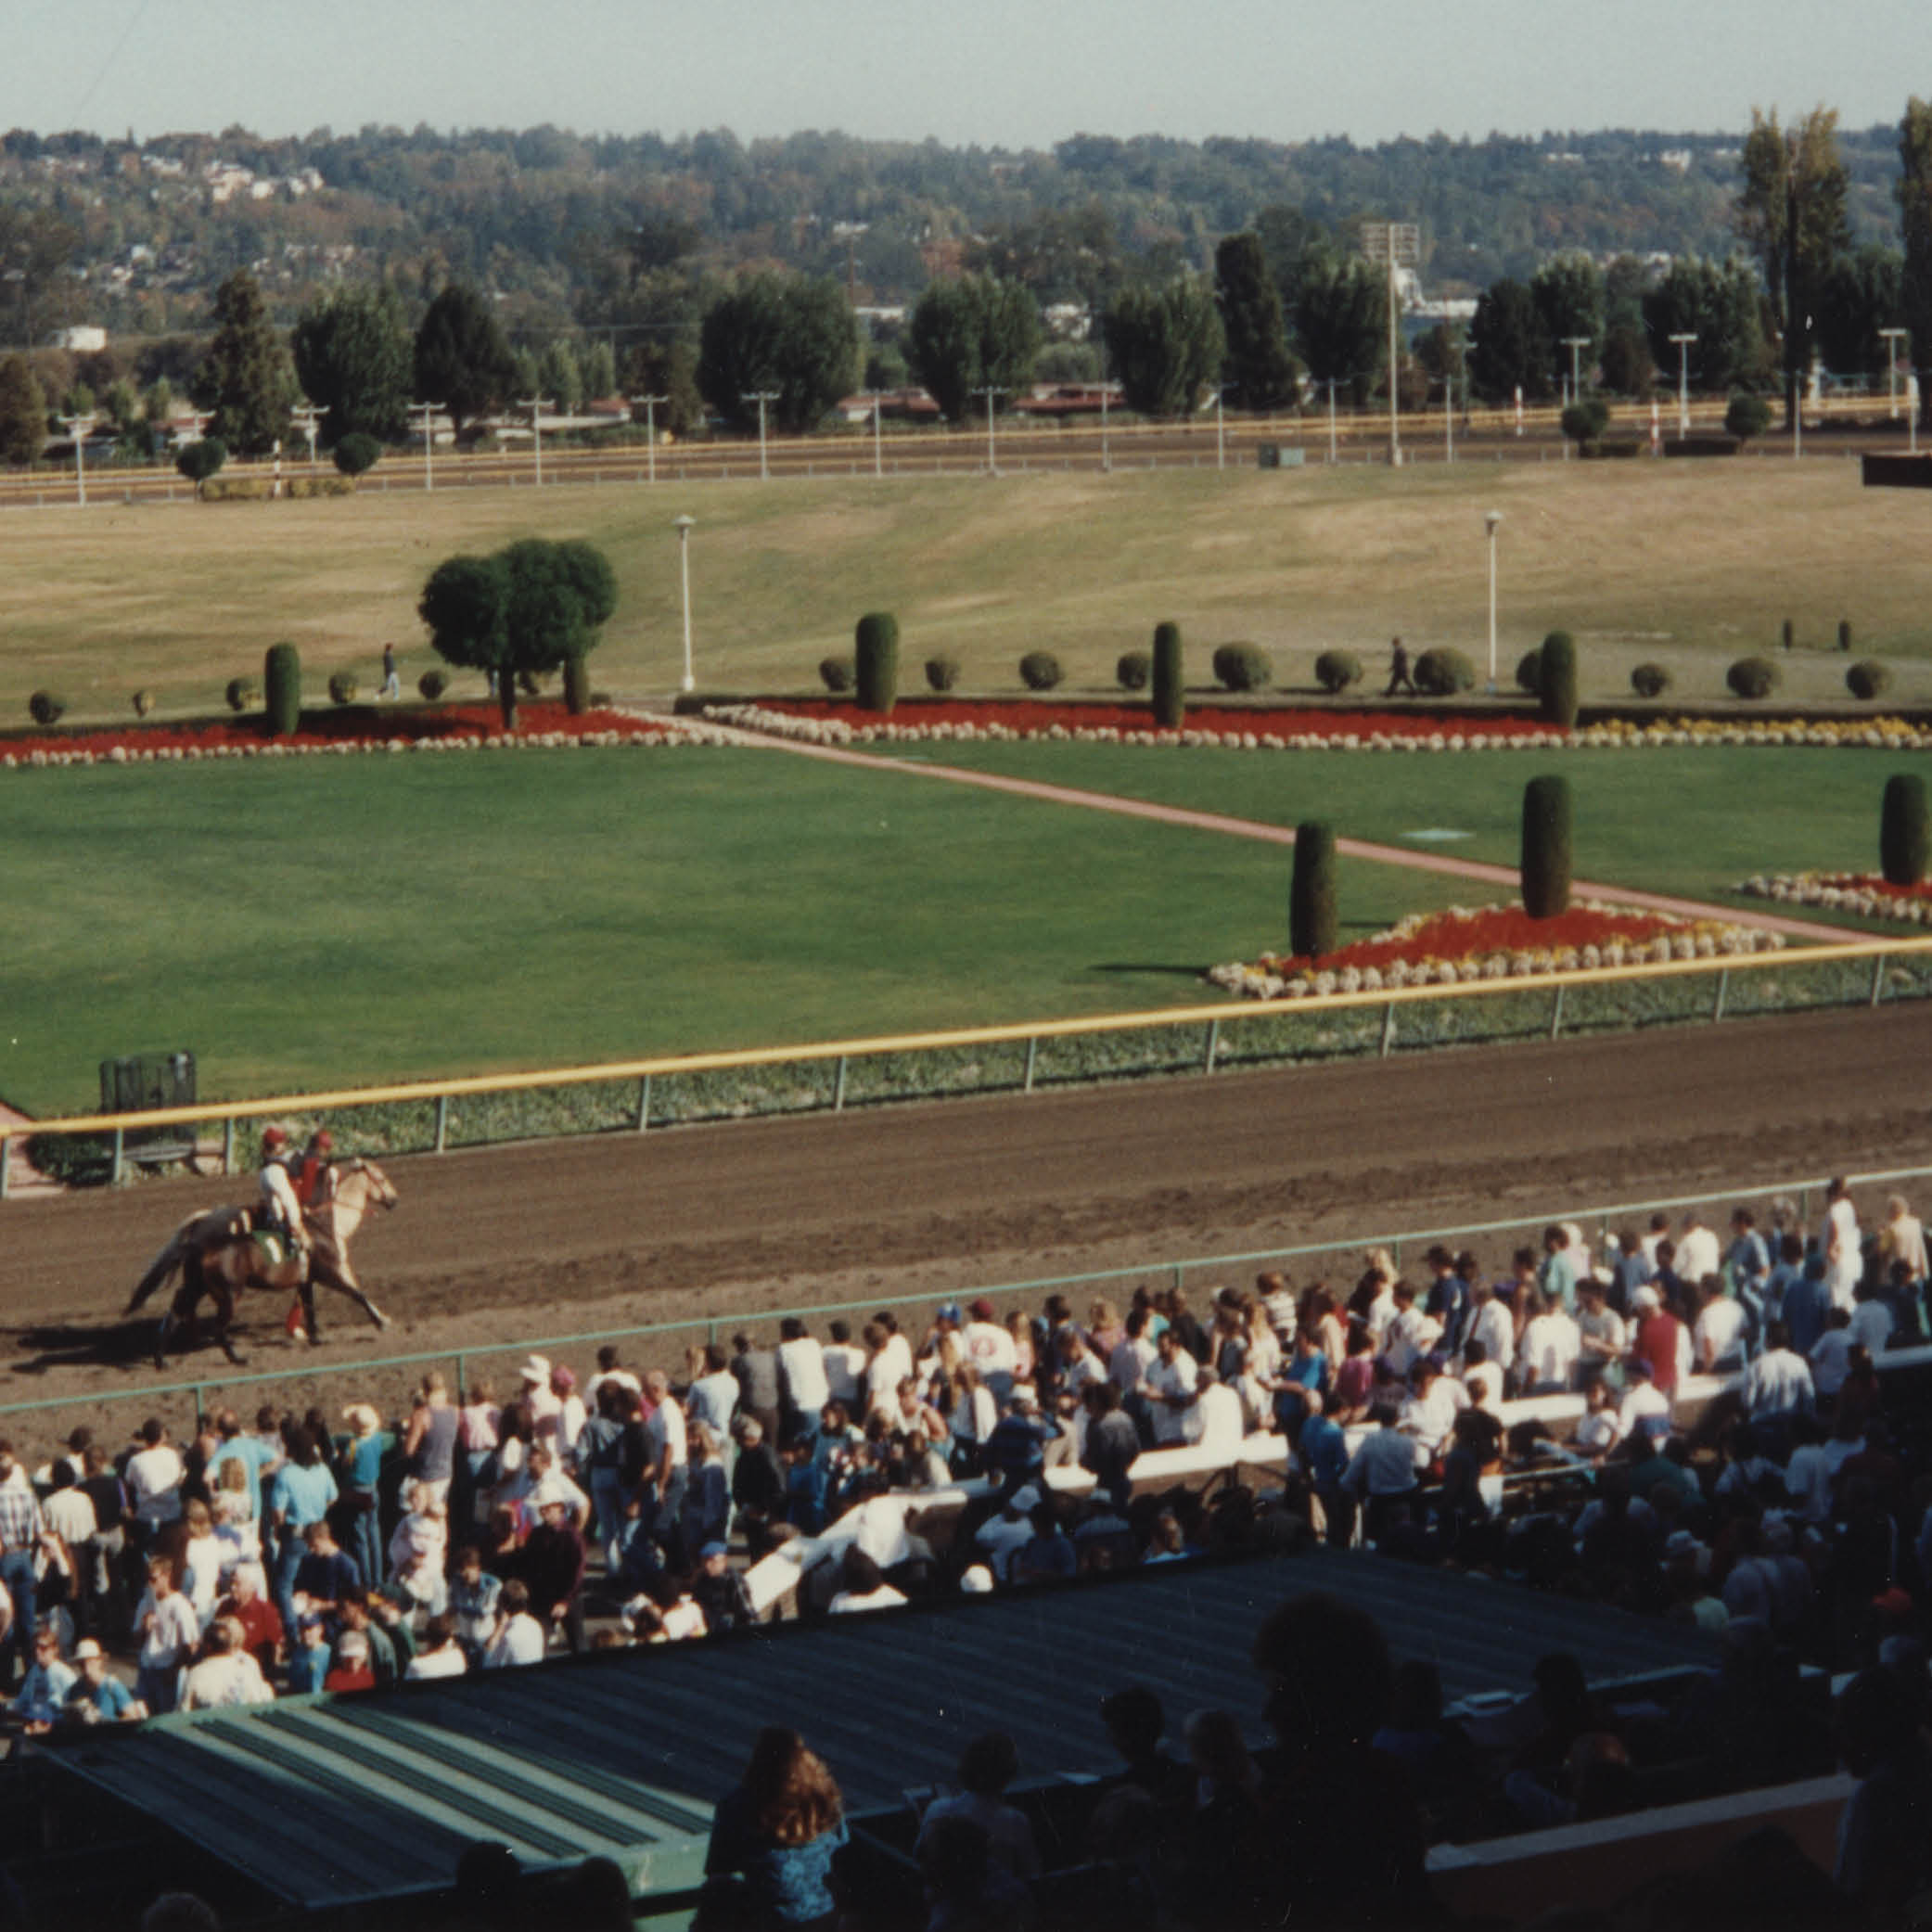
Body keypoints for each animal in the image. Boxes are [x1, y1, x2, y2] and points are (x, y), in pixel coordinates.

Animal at [125, 1151, 400, 1367]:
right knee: (206, 1320)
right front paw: (382, 1321)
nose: (394, 1199)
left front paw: (310, 1335)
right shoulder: (331, 1271)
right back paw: (227, 1354)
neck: (320, 1224)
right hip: (227, 1293)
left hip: (197, 1285)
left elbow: (309, 1305)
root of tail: (198, 1228)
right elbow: (356, 1292)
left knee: (180, 1308)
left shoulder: (308, 1278)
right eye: (382, 1178)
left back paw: (167, 1353)